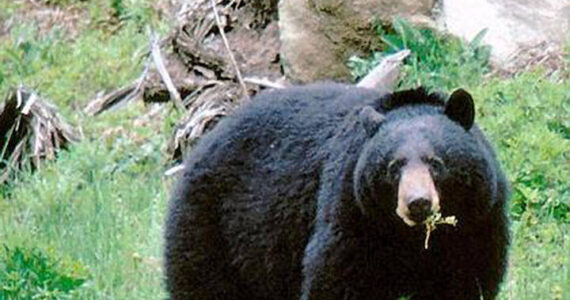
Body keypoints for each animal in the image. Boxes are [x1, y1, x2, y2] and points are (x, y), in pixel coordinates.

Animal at [163, 82, 506, 300]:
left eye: (436, 163)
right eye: (393, 167)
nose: (418, 203)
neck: (410, 238)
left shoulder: (480, 219)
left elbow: (465, 279)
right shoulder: (352, 210)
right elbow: (336, 276)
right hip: (212, 226)